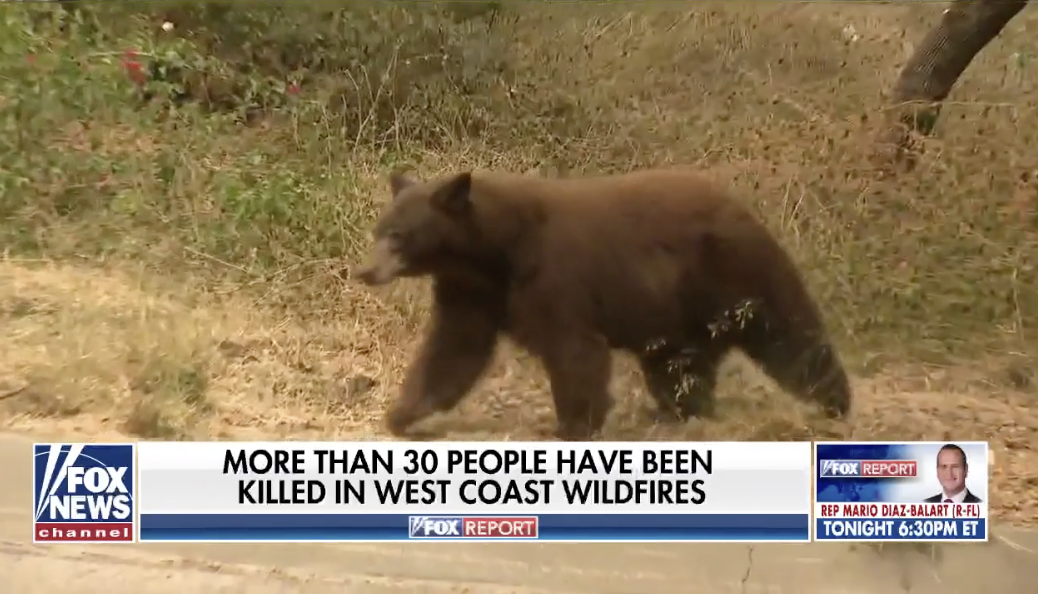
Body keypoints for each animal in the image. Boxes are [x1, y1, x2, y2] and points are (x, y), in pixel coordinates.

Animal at [354, 167, 852, 440]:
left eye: (397, 236)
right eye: (379, 230)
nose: (365, 271)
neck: (495, 249)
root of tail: (746, 211)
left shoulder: (554, 276)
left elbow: (574, 347)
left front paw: (574, 423)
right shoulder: (472, 290)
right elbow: (454, 348)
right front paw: (402, 412)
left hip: (738, 272)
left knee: (789, 332)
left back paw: (836, 401)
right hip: (674, 314)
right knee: (680, 364)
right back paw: (679, 410)